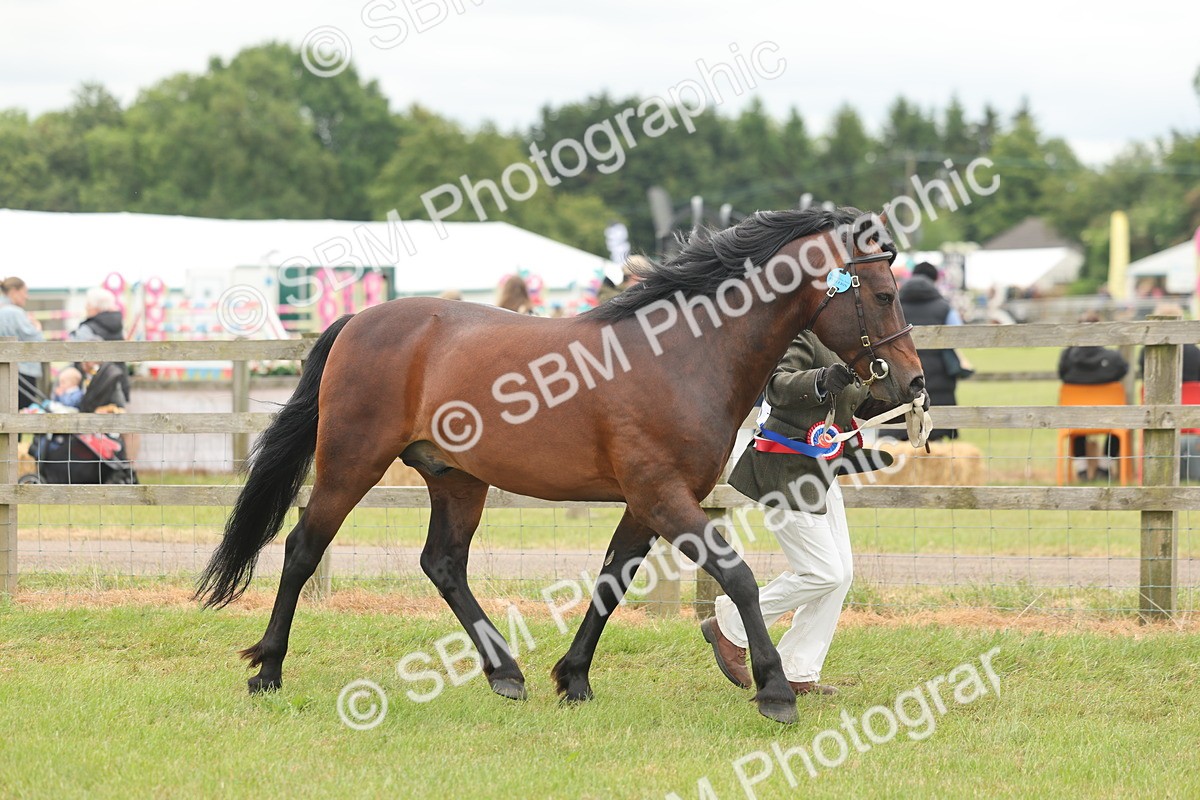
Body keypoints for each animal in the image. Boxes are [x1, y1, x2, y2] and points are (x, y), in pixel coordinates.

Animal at [196, 206, 925, 724]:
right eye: (883, 294)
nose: (911, 385)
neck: (683, 356)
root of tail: (358, 320)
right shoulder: (664, 496)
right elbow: (738, 577)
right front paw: (773, 688)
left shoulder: (647, 503)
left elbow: (611, 581)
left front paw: (573, 677)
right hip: (352, 464)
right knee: (302, 548)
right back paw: (268, 671)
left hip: (457, 478)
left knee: (443, 564)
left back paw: (505, 673)